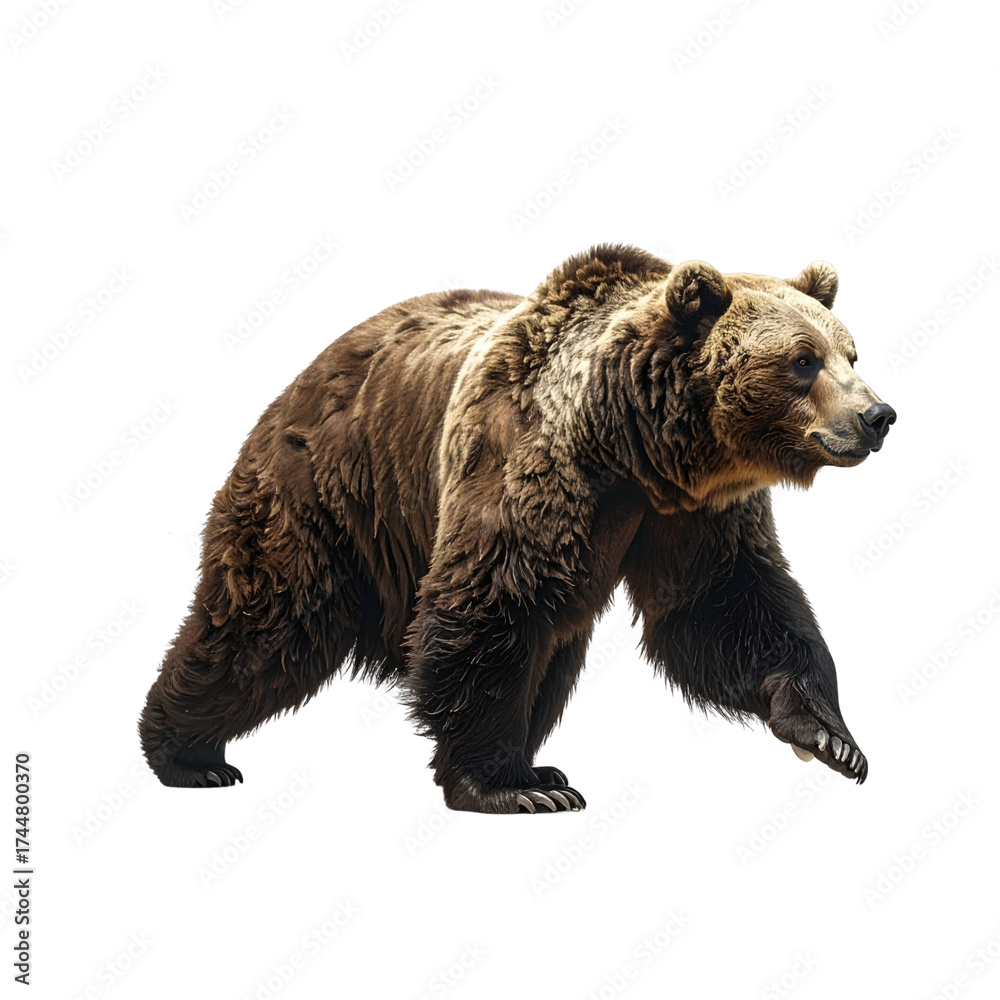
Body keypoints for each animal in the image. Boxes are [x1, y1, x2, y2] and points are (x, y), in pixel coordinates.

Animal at [139, 244, 895, 814]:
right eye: (802, 360)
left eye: (851, 354)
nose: (878, 416)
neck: (632, 444)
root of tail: (308, 369)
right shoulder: (528, 463)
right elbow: (492, 604)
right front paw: (502, 785)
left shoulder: (690, 513)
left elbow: (723, 602)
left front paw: (829, 736)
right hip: (329, 489)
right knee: (268, 619)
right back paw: (186, 753)